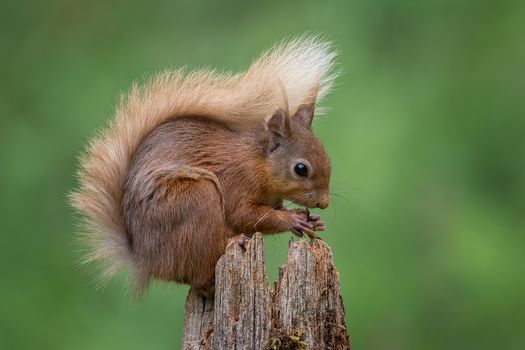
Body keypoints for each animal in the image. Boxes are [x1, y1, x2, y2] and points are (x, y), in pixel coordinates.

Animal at [70, 35, 336, 294]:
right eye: (301, 168)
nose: (324, 203)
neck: (258, 162)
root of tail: (147, 260)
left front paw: (311, 220)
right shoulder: (238, 181)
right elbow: (246, 215)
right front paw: (293, 219)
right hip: (195, 199)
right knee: (200, 270)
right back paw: (232, 242)